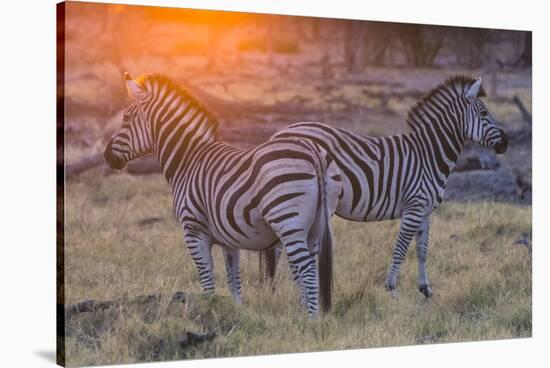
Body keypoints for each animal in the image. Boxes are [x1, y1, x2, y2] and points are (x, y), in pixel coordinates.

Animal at [103, 73, 342, 318]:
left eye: (126, 119)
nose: (106, 156)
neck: (188, 160)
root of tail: (312, 151)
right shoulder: (229, 240)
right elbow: (233, 281)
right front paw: (237, 313)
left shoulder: (193, 230)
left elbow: (207, 280)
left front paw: (209, 311)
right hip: (315, 225)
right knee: (309, 268)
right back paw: (303, 315)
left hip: (288, 221)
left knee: (308, 271)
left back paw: (311, 319)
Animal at [262, 76, 508, 298]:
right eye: (484, 113)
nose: (506, 143)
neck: (428, 155)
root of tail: (277, 135)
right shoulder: (413, 207)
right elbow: (400, 250)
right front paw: (391, 290)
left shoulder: (425, 210)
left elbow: (422, 250)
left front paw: (425, 289)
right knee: (282, 248)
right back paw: (281, 291)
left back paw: (275, 291)